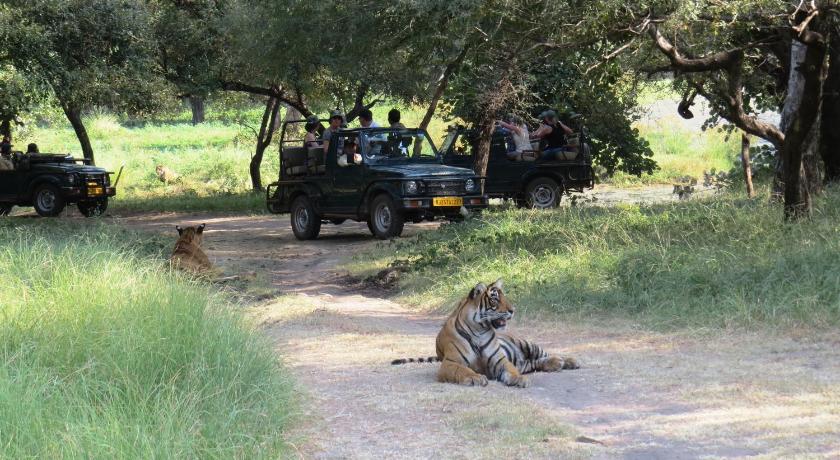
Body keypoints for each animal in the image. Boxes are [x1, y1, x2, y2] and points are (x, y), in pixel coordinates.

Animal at [392, 278, 576, 386]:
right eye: (495, 299)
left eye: (504, 297)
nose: (513, 310)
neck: (478, 331)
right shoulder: (450, 363)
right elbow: (463, 370)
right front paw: (475, 377)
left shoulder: (500, 361)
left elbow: (511, 370)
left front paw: (519, 379)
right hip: (526, 360)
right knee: (535, 362)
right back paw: (556, 364)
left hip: (527, 344)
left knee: (545, 354)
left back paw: (569, 361)